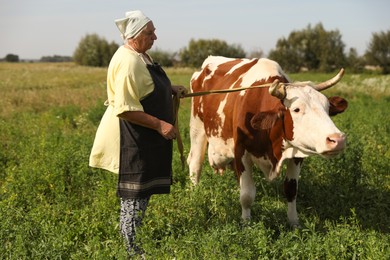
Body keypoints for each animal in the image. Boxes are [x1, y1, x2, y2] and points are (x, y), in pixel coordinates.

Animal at [187, 55, 348, 226]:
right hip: (197, 127)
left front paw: (294, 223)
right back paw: (194, 196)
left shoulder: (297, 153)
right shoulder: (241, 151)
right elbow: (247, 194)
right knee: (195, 164)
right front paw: (246, 223)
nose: (337, 139)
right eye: (296, 109)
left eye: (327, 108)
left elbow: (291, 190)